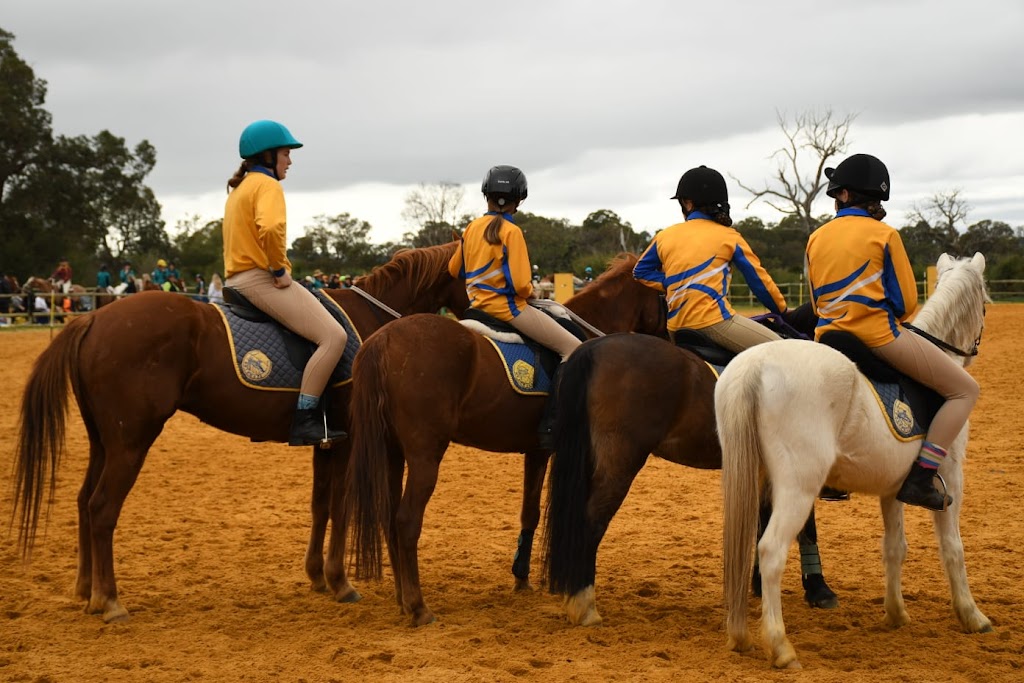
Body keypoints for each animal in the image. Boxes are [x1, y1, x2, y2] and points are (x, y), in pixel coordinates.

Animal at [11, 242, 468, 622]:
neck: (372, 320)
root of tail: (92, 318)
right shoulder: (349, 441)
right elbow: (340, 508)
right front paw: (340, 582)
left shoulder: (326, 441)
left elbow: (320, 505)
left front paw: (318, 576)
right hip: (130, 442)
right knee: (102, 508)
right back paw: (109, 601)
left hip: (104, 442)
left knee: (83, 501)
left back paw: (86, 591)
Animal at [346, 254, 671, 626]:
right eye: (664, 293)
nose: (671, 339)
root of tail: (383, 339)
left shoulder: (536, 450)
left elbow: (529, 512)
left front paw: (521, 577)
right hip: (424, 455)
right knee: (406, 521)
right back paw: (418, 606)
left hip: (392, 451)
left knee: (389, 518)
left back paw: (403, 598)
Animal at [712, 253, 991, 671]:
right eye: (986, 305)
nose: (973, 349)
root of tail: (755, 364)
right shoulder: (950, 480)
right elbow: (953, 549)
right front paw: (972, 615)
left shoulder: (893, 490)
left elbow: (894, 547)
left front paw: (896, 614)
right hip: (797, 489)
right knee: (770, 551)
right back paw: (780, 646)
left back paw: (741, 636)